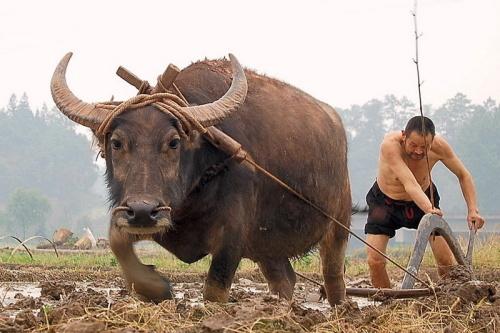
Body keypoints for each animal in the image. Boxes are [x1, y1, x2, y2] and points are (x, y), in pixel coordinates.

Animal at [48, 53, 350, 304]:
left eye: (173, 142)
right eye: (117, 143)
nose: (143, 212)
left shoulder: (231, 238)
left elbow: (215, 288)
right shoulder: (142, 214)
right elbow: (117, 241)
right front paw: (155, 287)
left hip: (339, 224)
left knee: (333, 276)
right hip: (268, 245)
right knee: (284, 279)